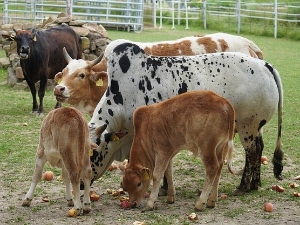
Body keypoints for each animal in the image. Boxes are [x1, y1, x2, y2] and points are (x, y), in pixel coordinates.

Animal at [89, 42, 284, 193]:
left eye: (93, 153)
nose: (84, 183)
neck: (122, 98)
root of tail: (265, 65)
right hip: (256, 127)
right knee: (259, 147)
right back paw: (255, 183)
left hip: (247, 127)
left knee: (252, 151)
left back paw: (243, 186)